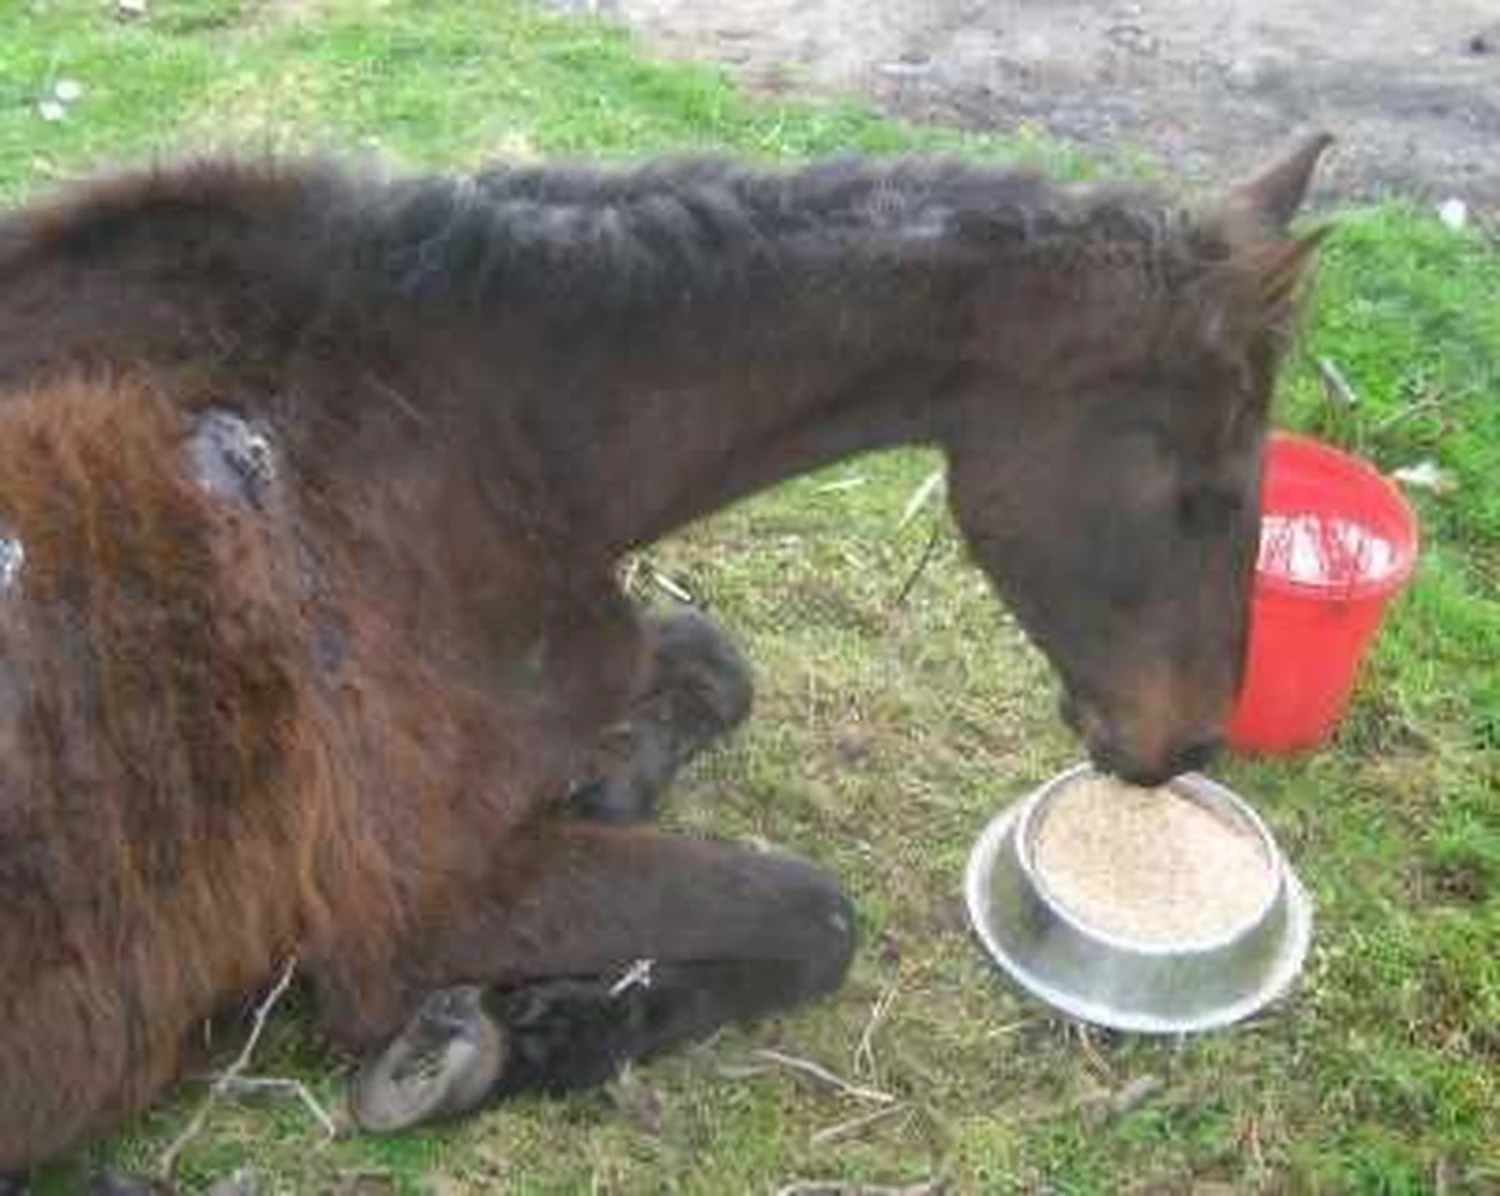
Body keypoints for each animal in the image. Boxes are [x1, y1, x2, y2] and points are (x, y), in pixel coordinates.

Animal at [0, 131, 1331, 1190]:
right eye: (1206, 497)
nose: (1185, 743)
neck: (451, 433)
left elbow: (710, 659)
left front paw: (611, 782)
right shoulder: (414, 902)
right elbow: (816, 914)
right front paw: (515, 1040)